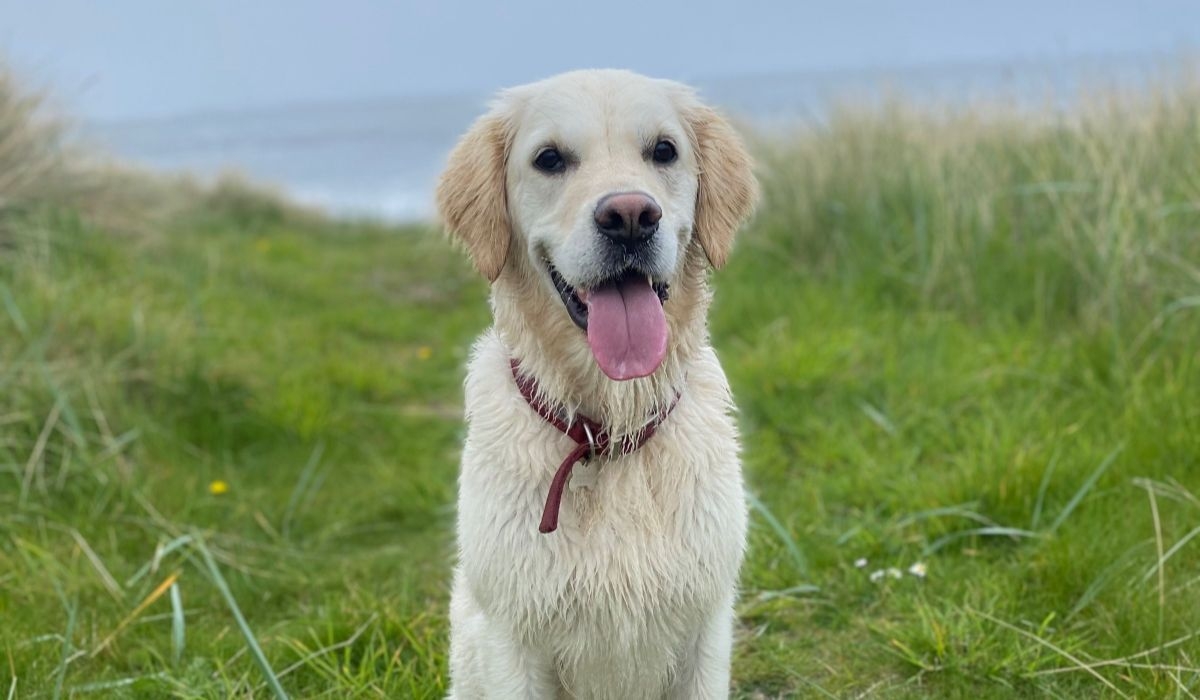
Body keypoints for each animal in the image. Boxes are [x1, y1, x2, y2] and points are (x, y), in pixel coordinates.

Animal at [436, 67, 758, 700]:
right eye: (549, 158)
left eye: (664, 150)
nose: (630, 216)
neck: (608, 432)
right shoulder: (512, 637)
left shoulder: (705, 627)